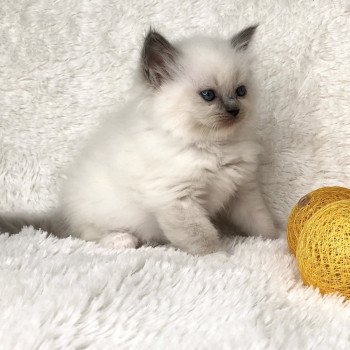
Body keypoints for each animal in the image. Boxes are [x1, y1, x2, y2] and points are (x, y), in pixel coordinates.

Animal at [0, 25, 278, 254]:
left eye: (241, 91)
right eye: (208, 95)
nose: (234, 110)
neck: (213, 145)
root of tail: (60, 212)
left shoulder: (242, 190)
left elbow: (260, 220)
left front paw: (276, 240)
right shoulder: (176, 198)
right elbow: (200, 236)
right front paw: (218, 257)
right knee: (85, 234)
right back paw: (122, 240)